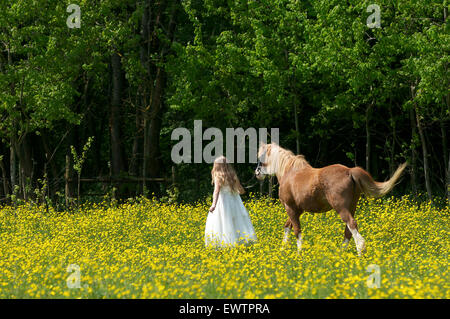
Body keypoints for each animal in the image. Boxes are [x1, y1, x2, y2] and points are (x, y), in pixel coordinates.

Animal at [255, 144, 406, 256]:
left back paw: (359, 251)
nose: (257, 172)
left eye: (261, 156)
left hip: (341, 208)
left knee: (352, 225)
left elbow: (297, 230)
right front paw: (282, 250)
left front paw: (299, 254)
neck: (289, 172)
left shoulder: (290, 208)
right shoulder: (298, 210)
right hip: (351, 207)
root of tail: (349, 171)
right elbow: (287, 227)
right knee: (348, 231)